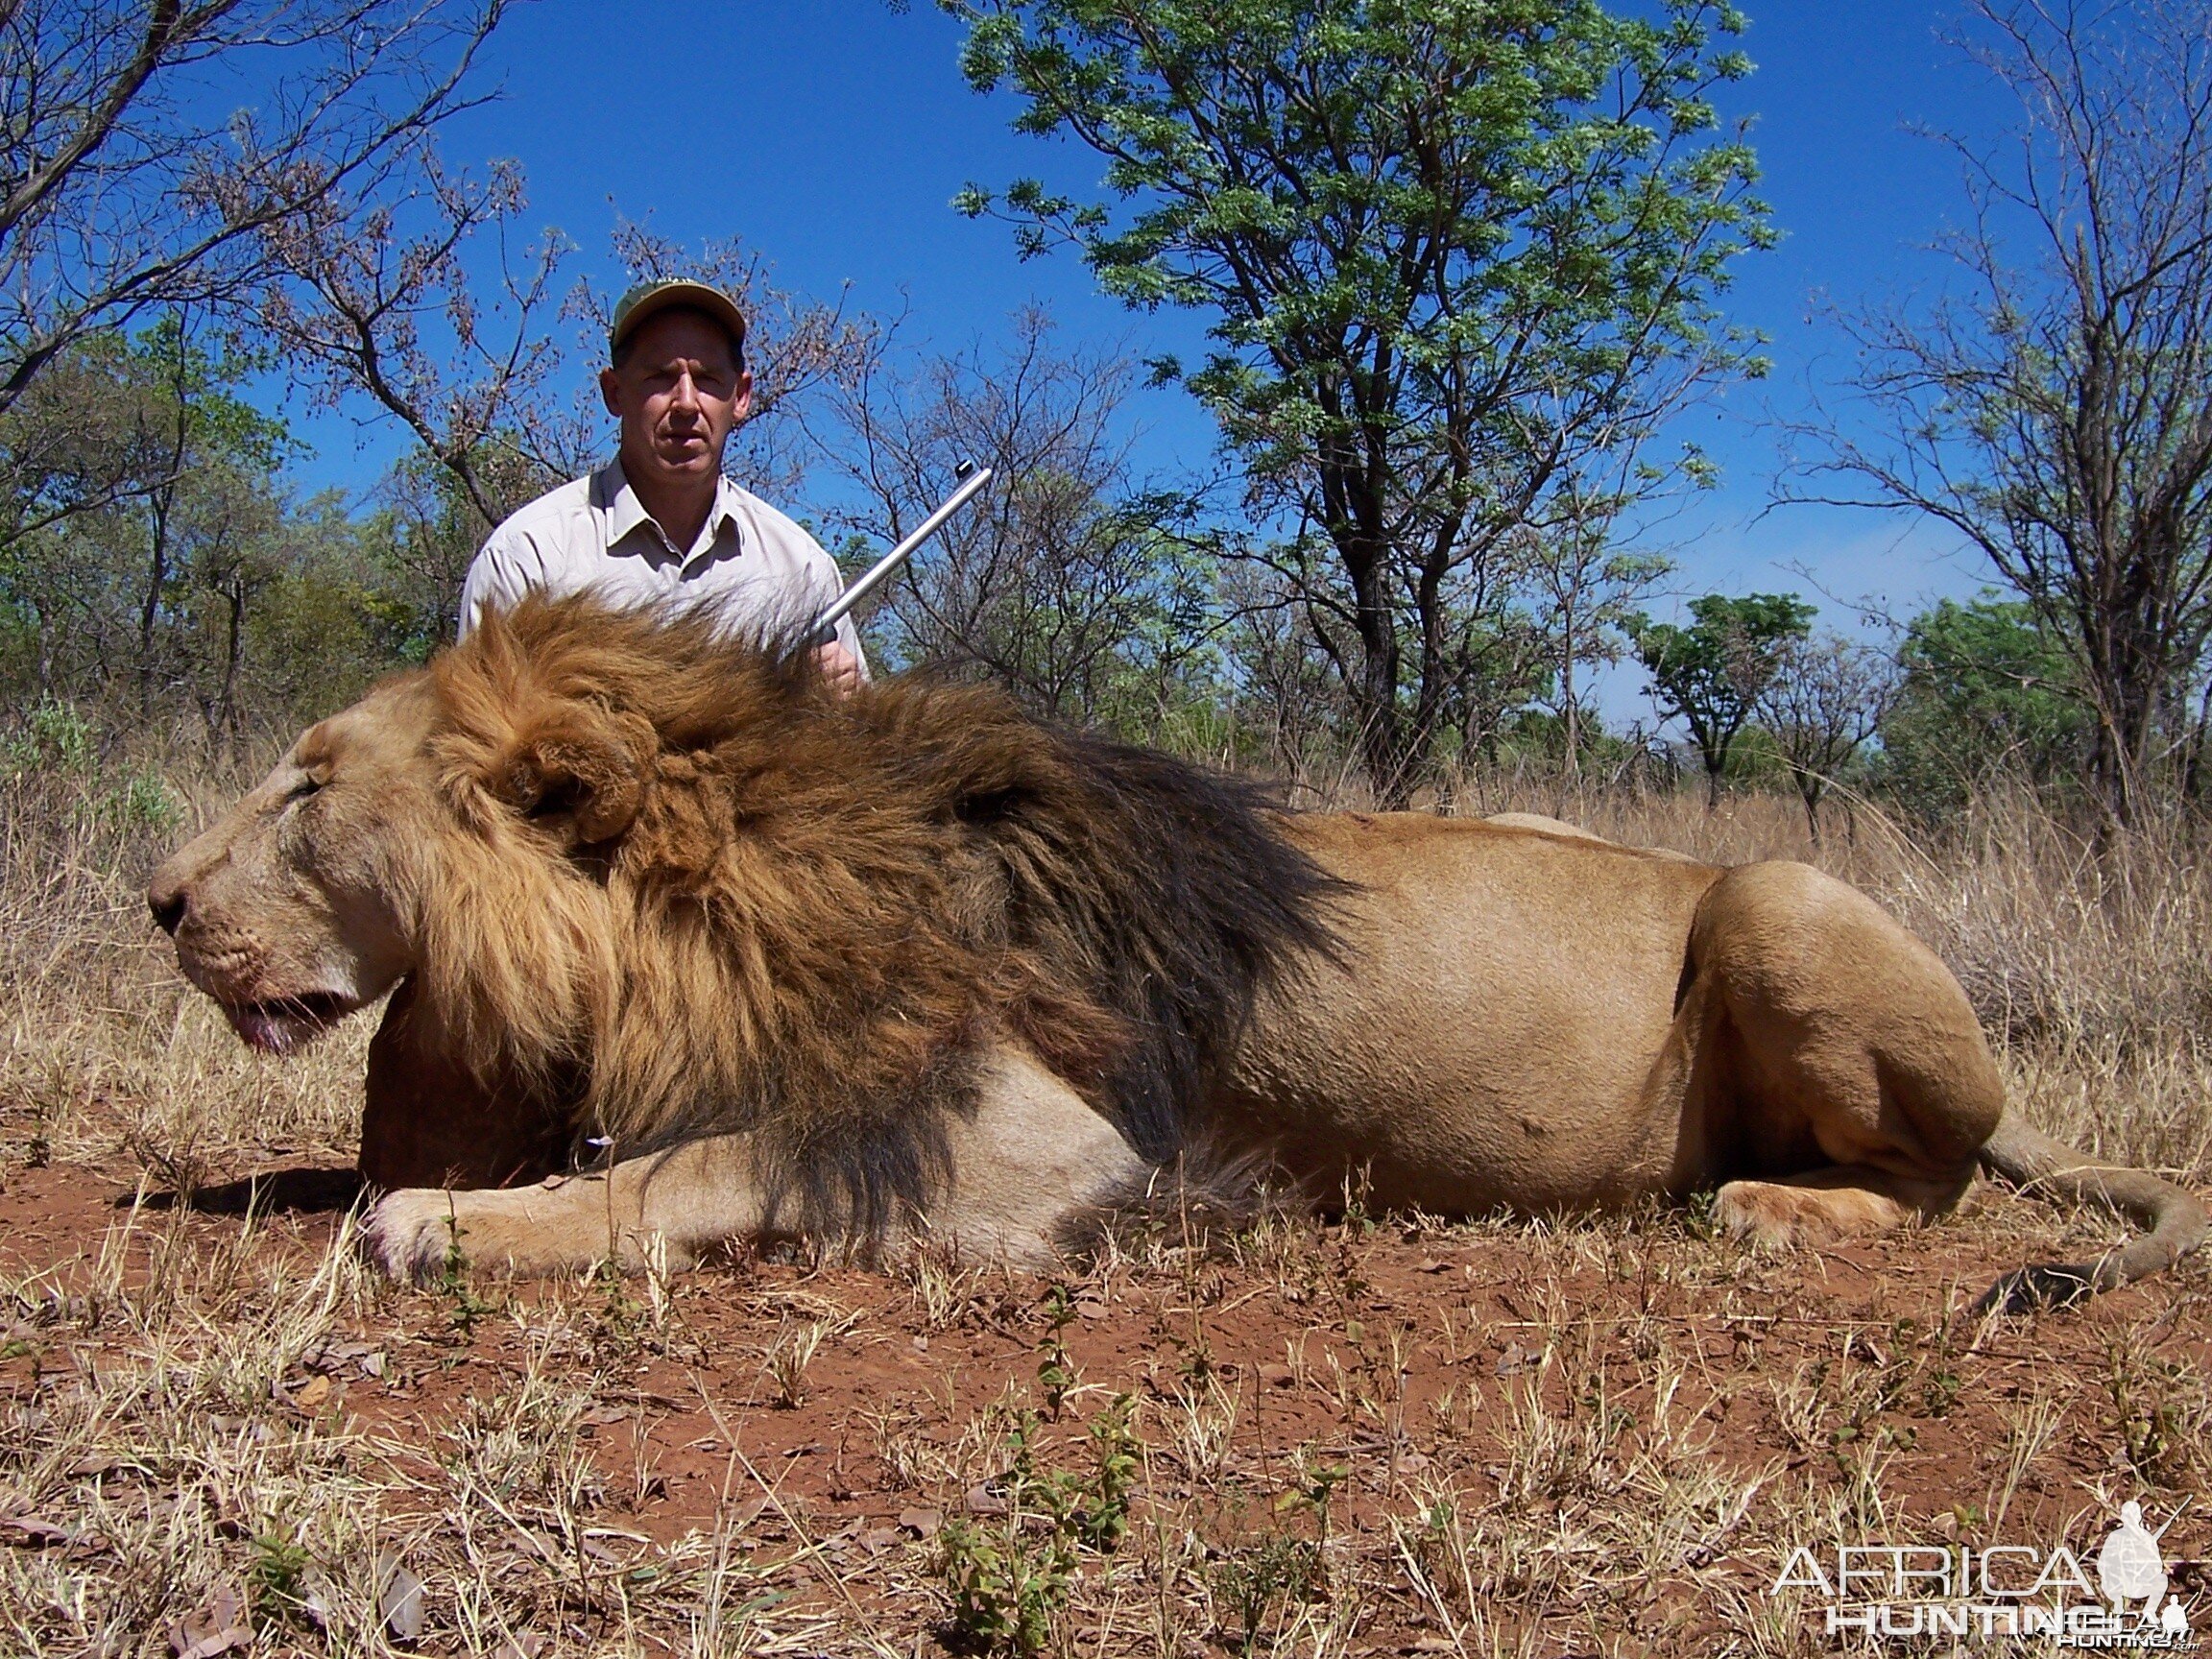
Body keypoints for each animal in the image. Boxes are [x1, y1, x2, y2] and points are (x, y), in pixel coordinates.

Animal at [147, 597, 2202, 1309]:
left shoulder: (1034, 1130)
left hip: (1777, 889)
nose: (161, 900)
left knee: (1943, 1179)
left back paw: (1769, 1206)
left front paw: (435, 1219)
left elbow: (698, 1164)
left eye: (307, 780)